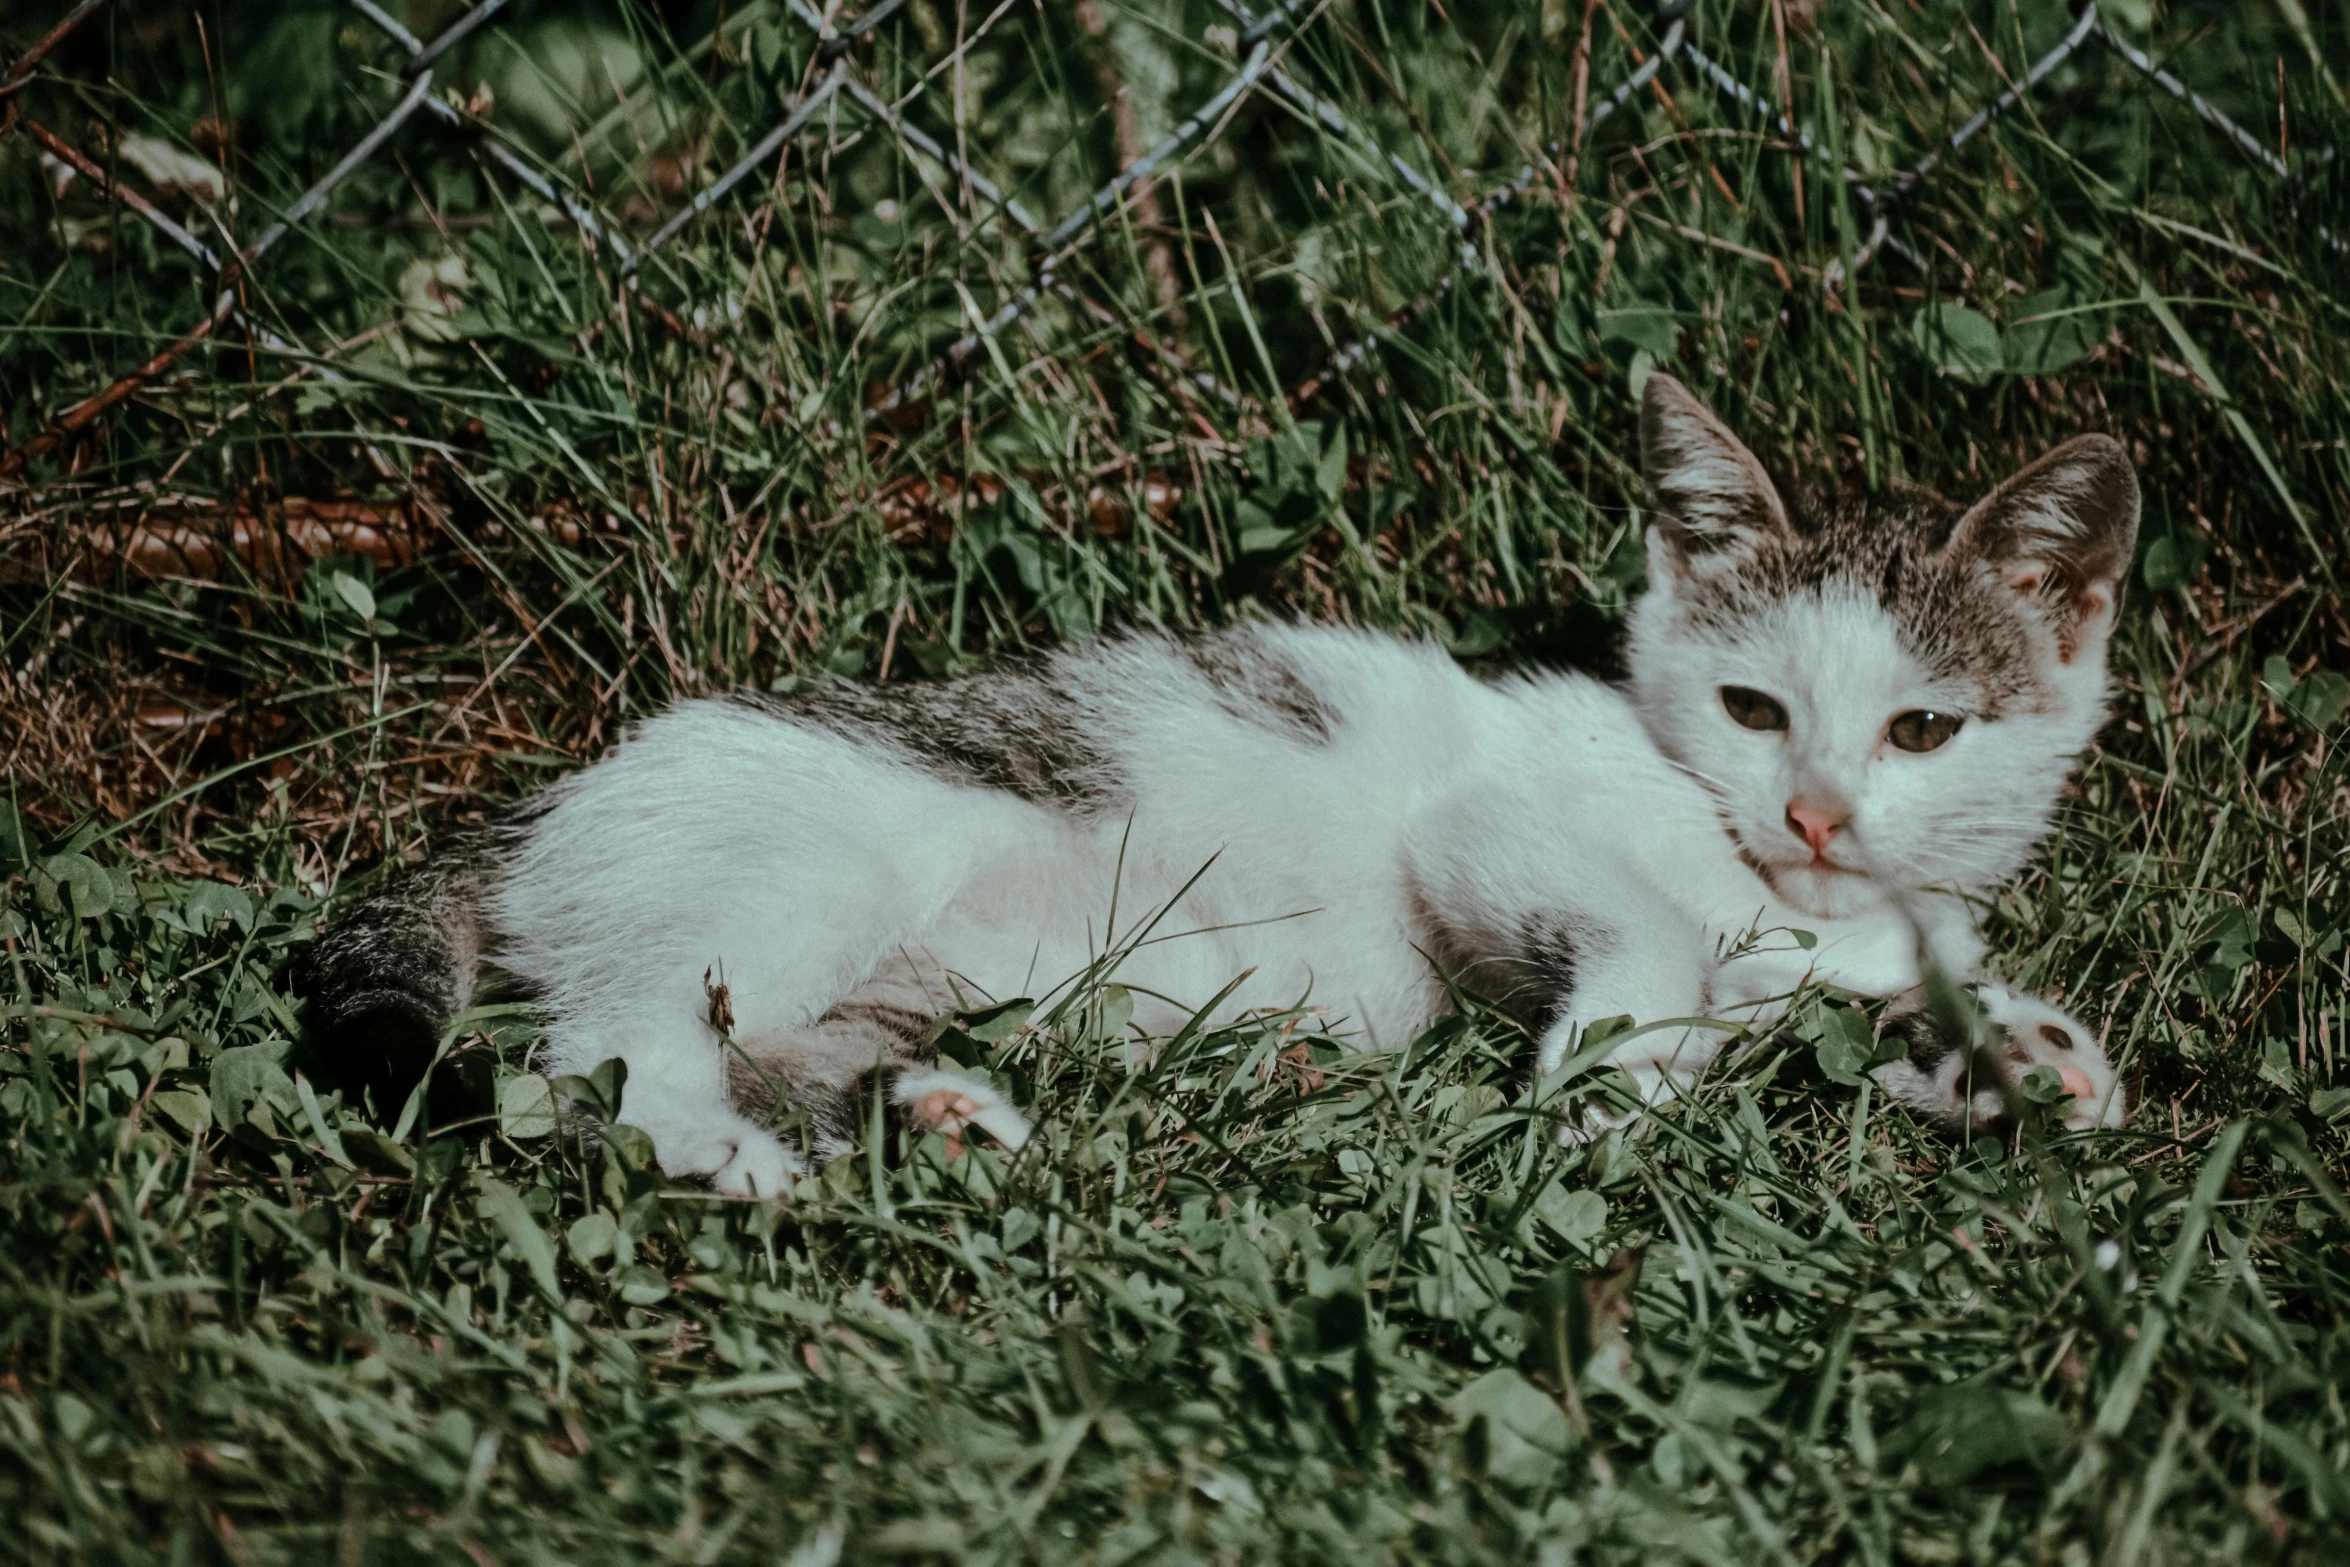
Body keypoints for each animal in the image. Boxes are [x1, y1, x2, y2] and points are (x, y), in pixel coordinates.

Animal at [293, 373, 2133, 1193]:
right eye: (1753, 708)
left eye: (1920, 731)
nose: (1816, 813)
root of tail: (544, 803)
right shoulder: (1492, 823)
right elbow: (1653, 947)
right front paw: (1606, 1088)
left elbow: (1879, 994)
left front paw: (2013, 1058)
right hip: (808, 865)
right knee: (602, 1051)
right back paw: (730, 1162)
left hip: (889, 969)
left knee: (772, 1044)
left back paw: (927, 1121)